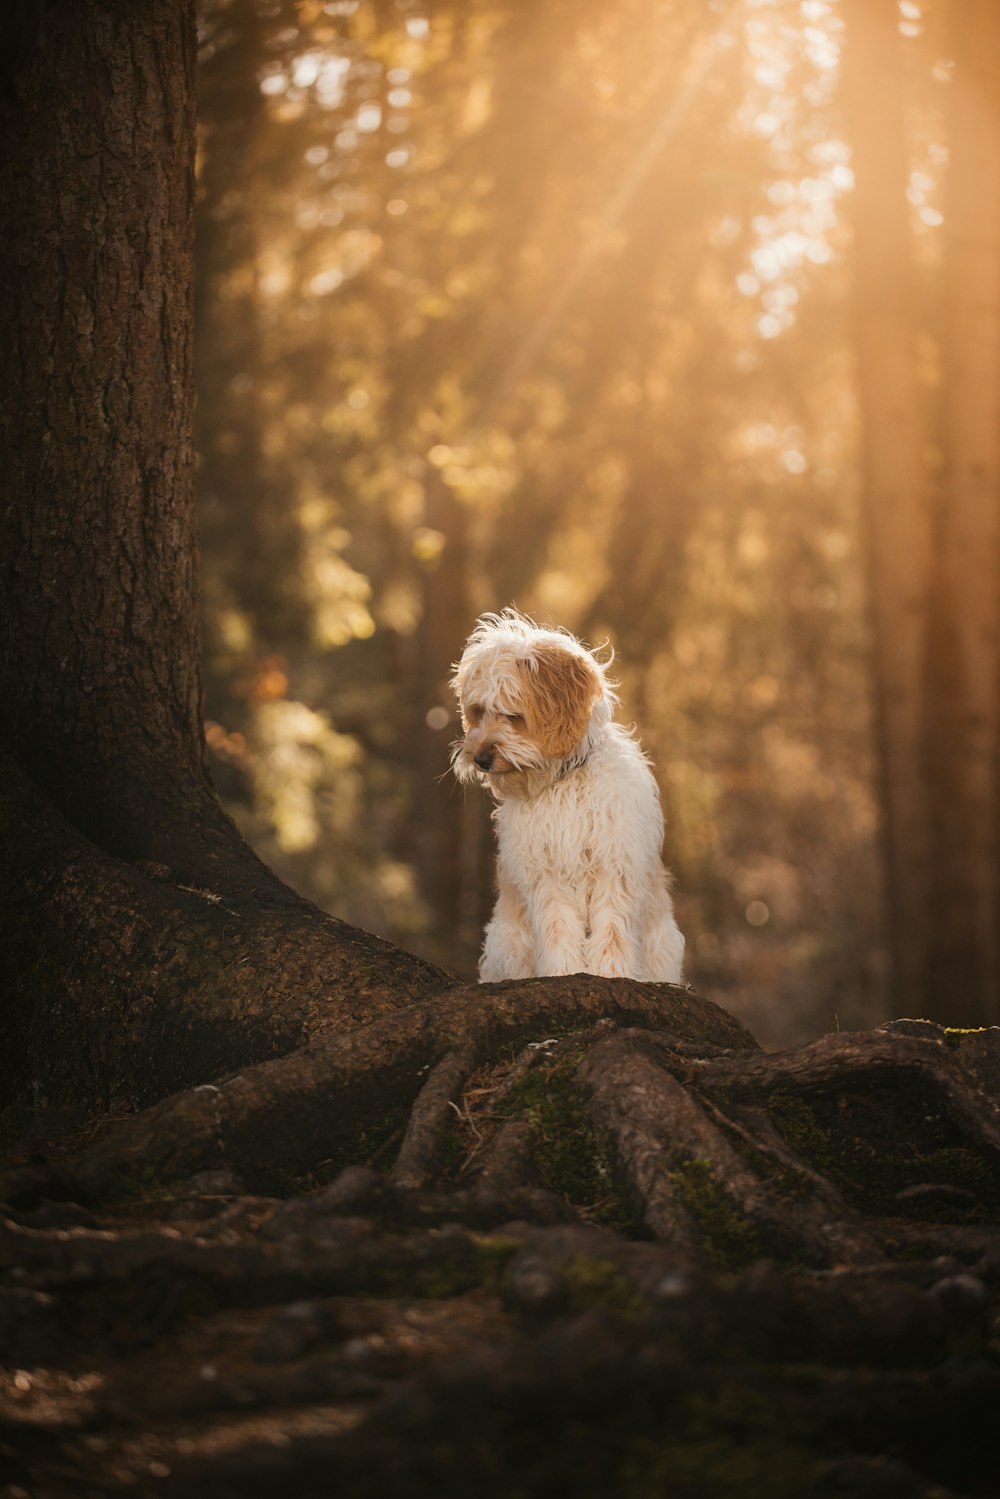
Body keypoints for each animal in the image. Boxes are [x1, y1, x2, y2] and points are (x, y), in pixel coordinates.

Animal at [449, 608, 683, 983]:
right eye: (478, 712)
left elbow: (612, 931)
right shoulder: (547, 875)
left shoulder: (613, 866)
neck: (563, 781)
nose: (481, 758)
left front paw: (611, 973)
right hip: (508, 944)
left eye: (513, 715)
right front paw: (564, 971)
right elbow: (558, 929)